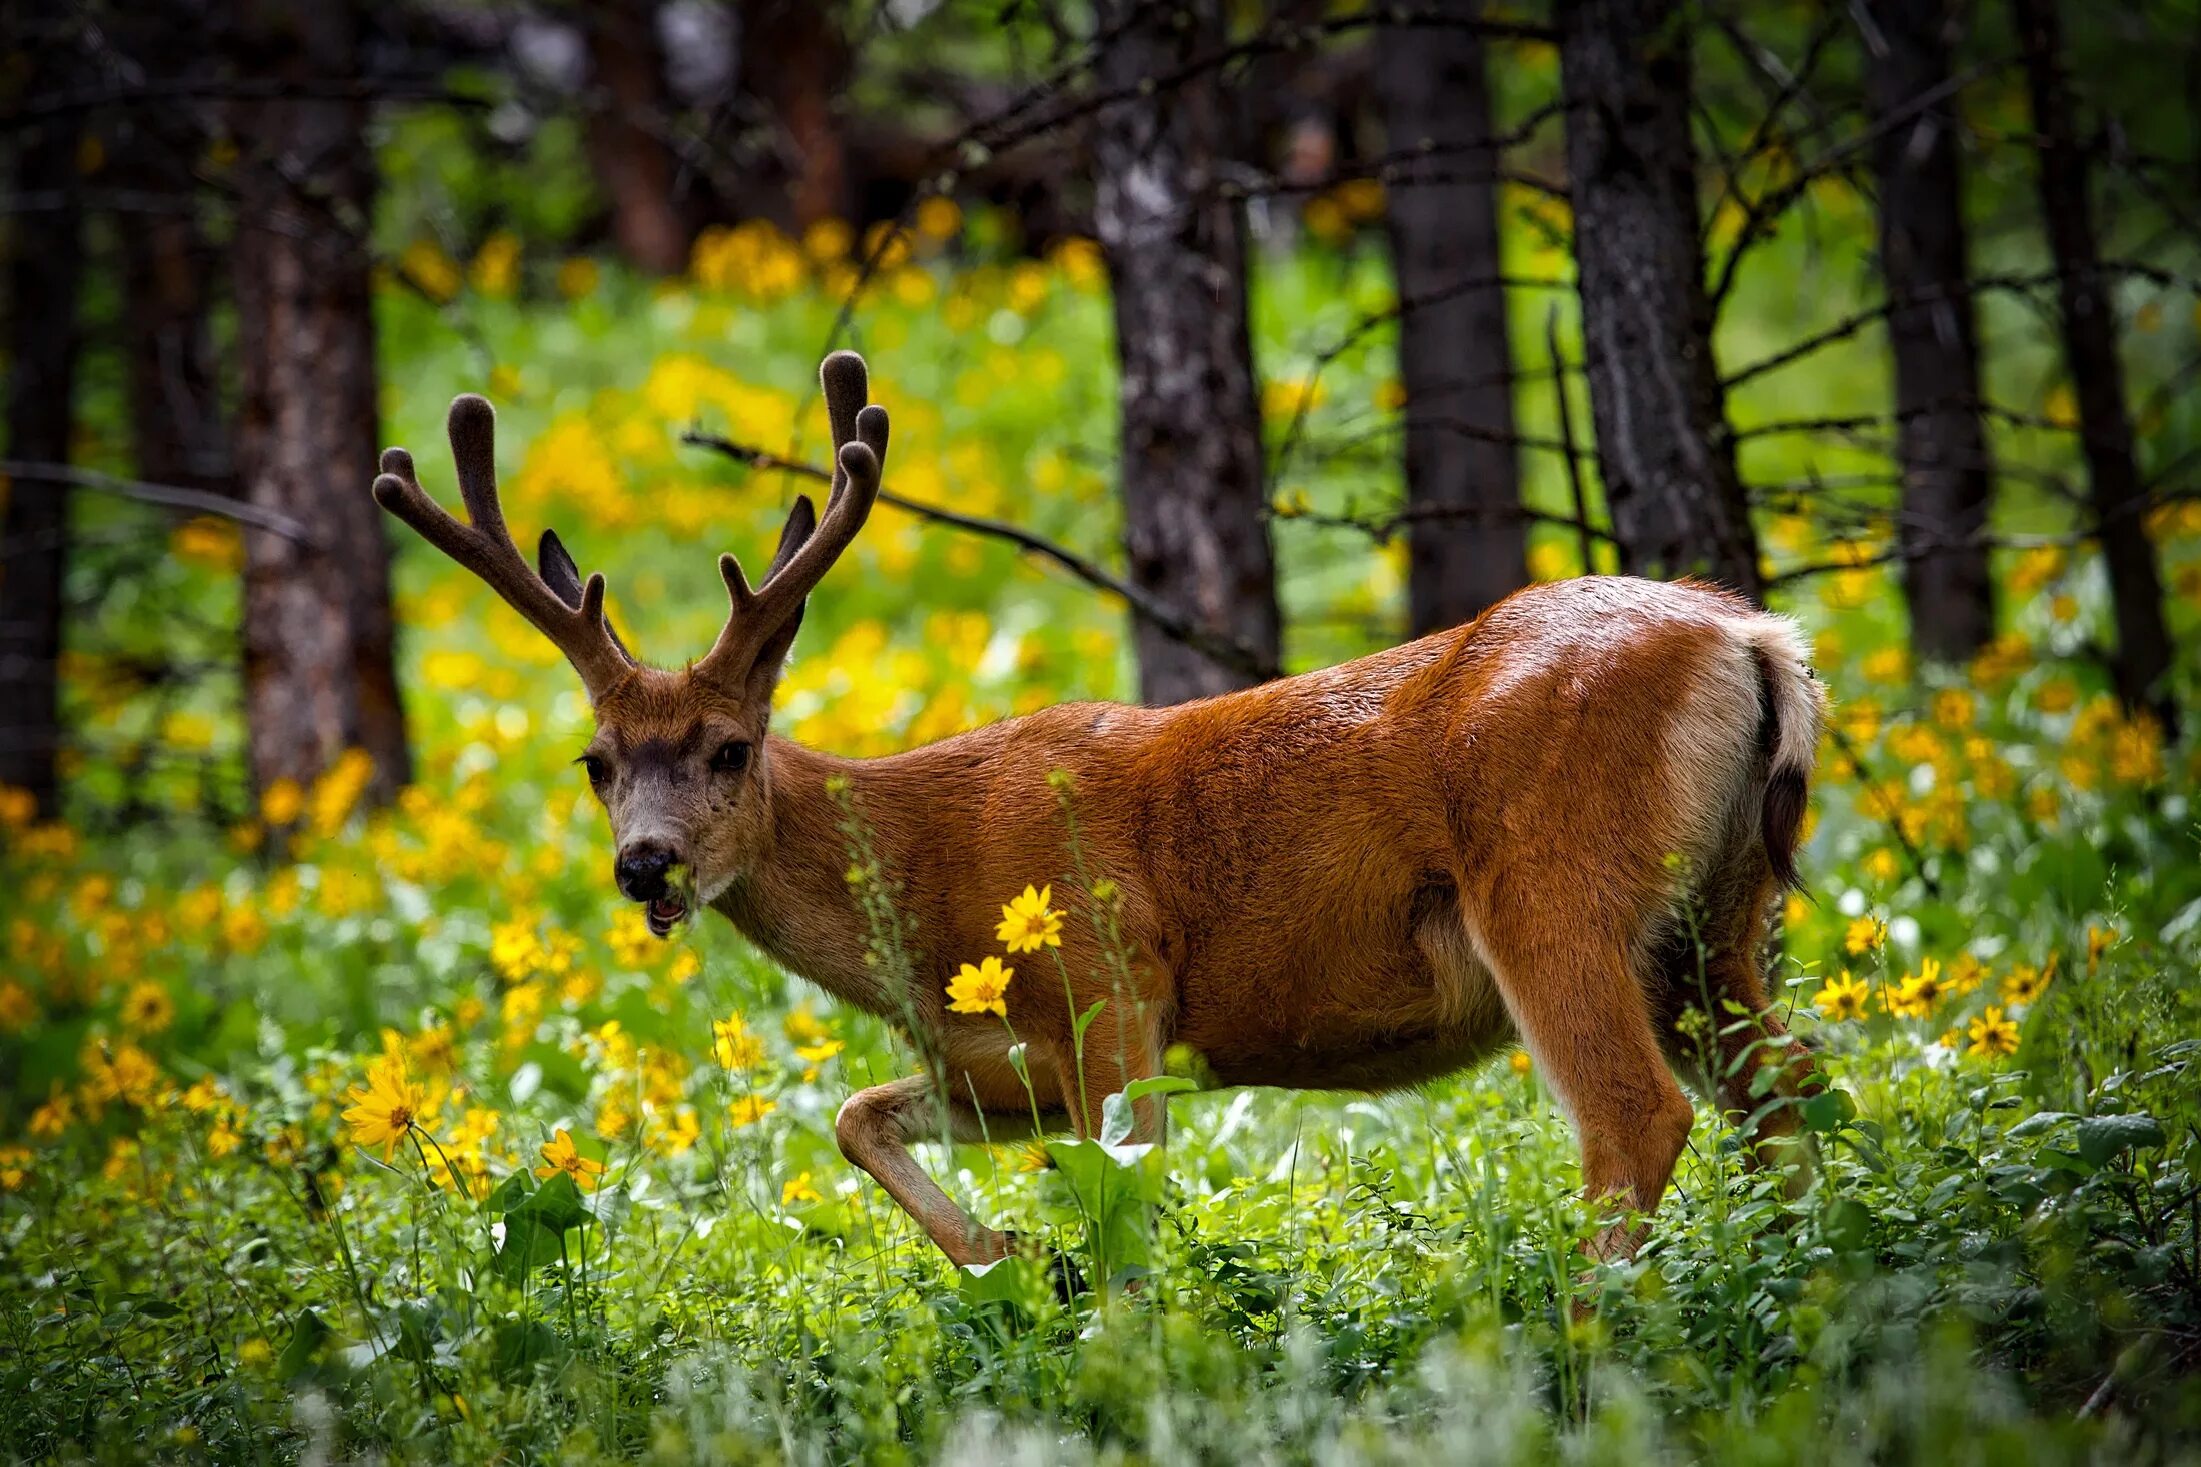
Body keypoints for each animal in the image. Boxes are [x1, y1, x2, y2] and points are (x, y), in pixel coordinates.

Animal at [369, 347, 1831, 1275]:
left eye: (729, 748)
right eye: (595, 760)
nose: (647, 864)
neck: (919, 883)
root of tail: (1753, 638)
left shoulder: (1113, 992)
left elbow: (1127, 1216)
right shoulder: (1000, 1064)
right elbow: (854, 1115)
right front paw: (1006, 1255)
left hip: (1552, 885)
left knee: (1636, 1118)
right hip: (1716, 915)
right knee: (1788, 1093)